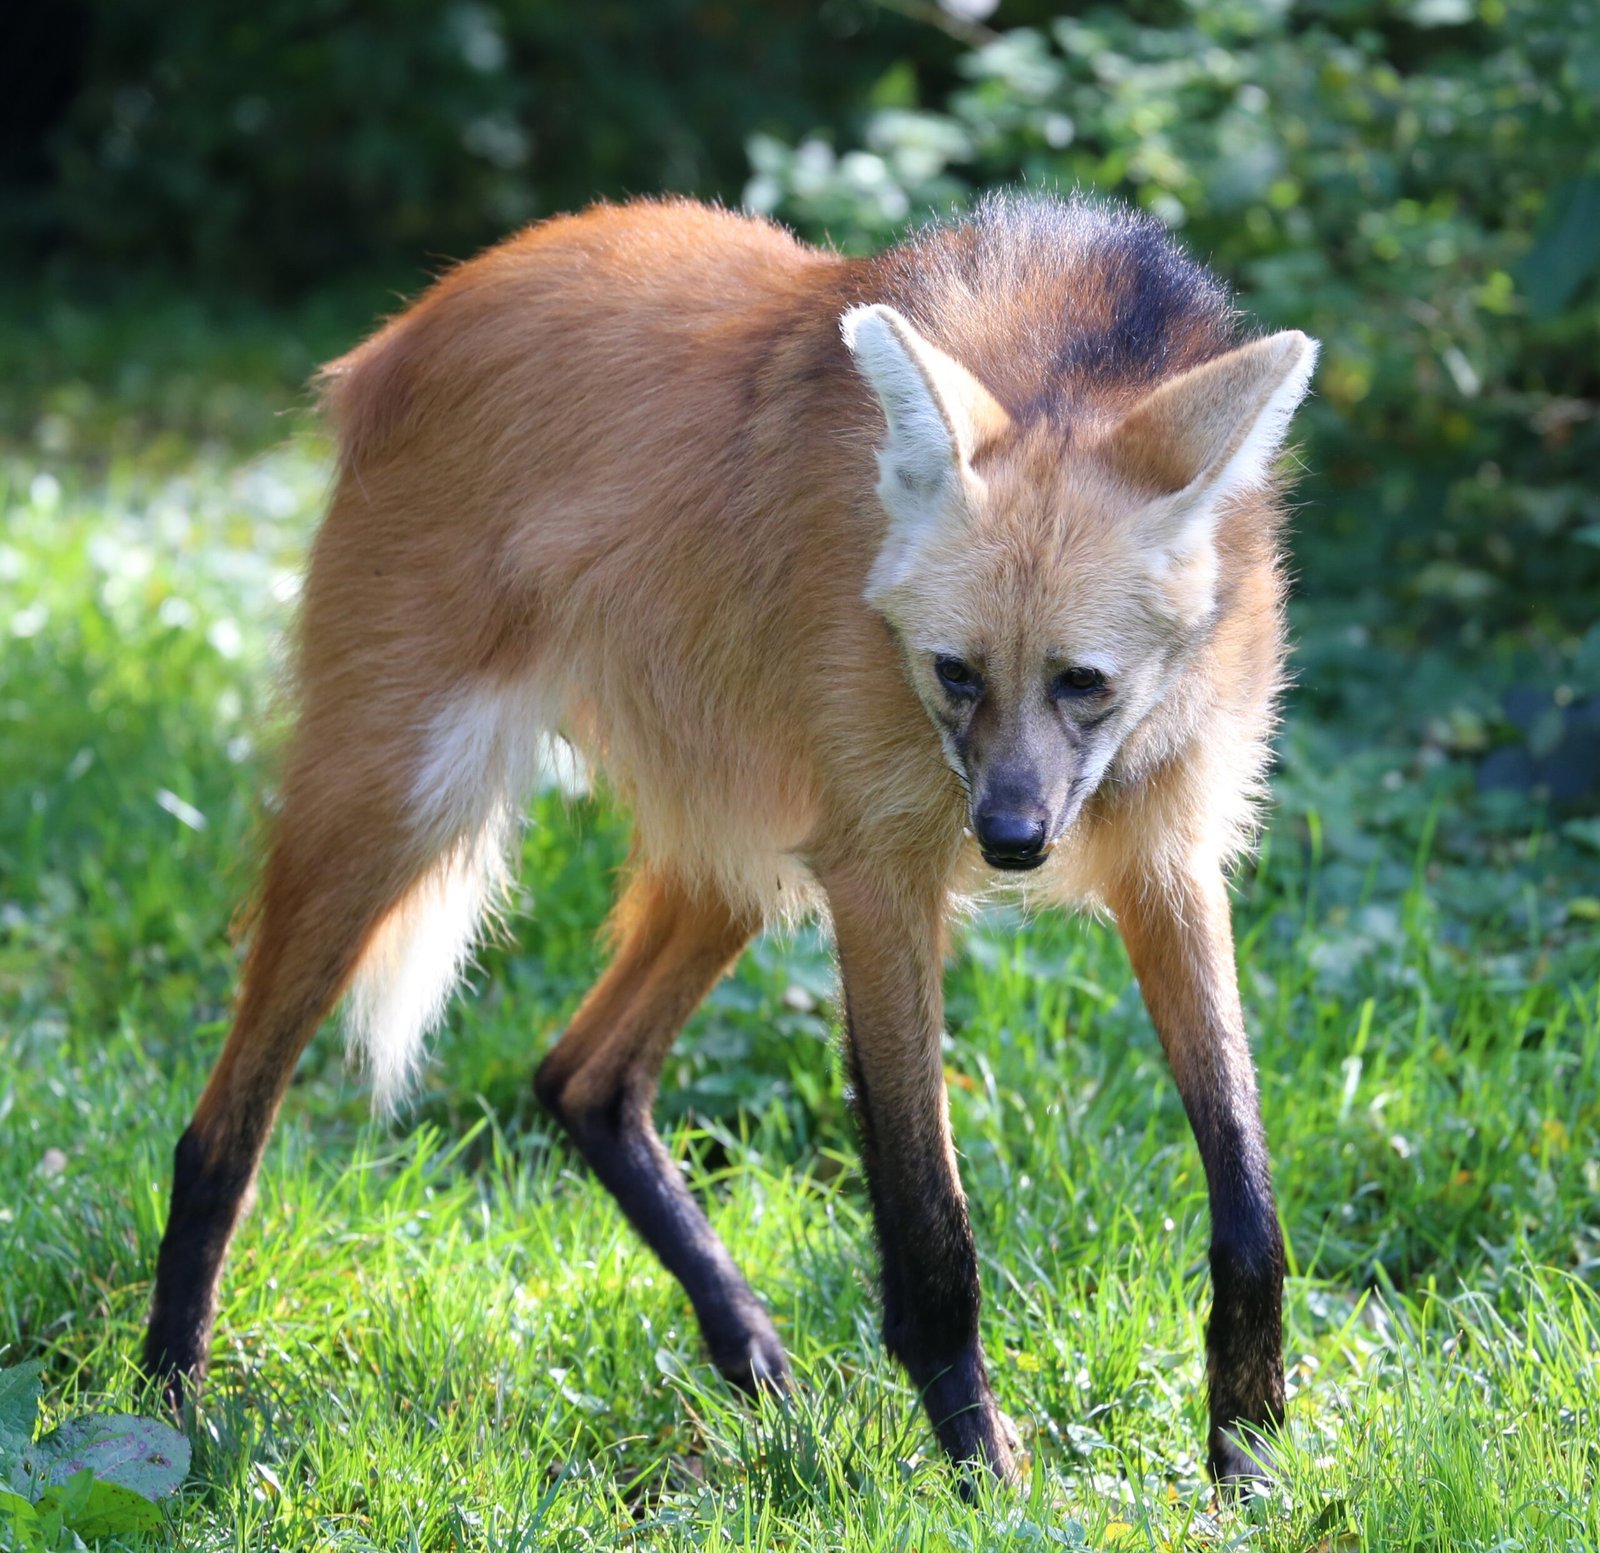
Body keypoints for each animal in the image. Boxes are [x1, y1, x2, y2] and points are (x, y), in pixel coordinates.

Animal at [142, 191, 1318, 1491]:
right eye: (955, 674)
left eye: (1082, 682)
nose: (1012, 840)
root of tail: (402, 328)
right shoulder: (882, 872)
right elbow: (930, 1225)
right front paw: (984, 1472)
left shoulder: (1165, 856)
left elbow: (1249, 1201)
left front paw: (1247, 1450)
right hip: (399, 803)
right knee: (221, 1127)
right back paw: (165, 1402)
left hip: (739, 854)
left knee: (582, 1075)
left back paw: (749, 1350)